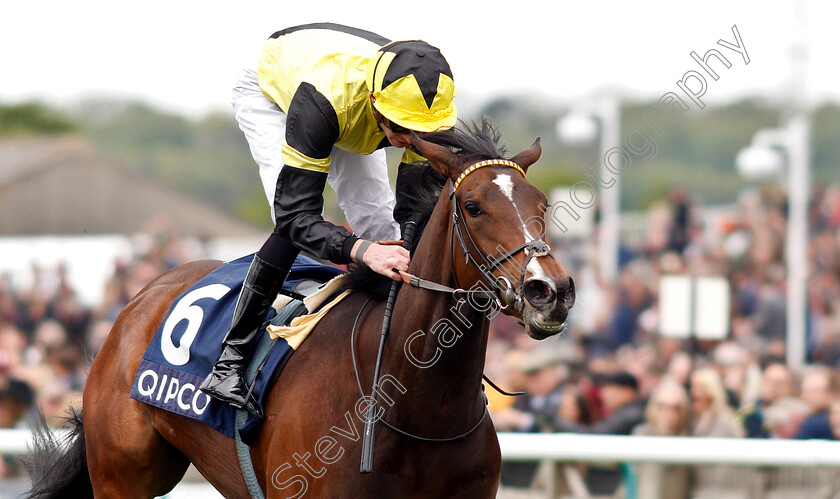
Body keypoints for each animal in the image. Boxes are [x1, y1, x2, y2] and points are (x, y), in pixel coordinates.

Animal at [27, 122, 576, 499]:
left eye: (543, 205)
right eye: (474, 206)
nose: (549, 290)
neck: (417, 407)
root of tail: (141, 298)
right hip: (123, 474)